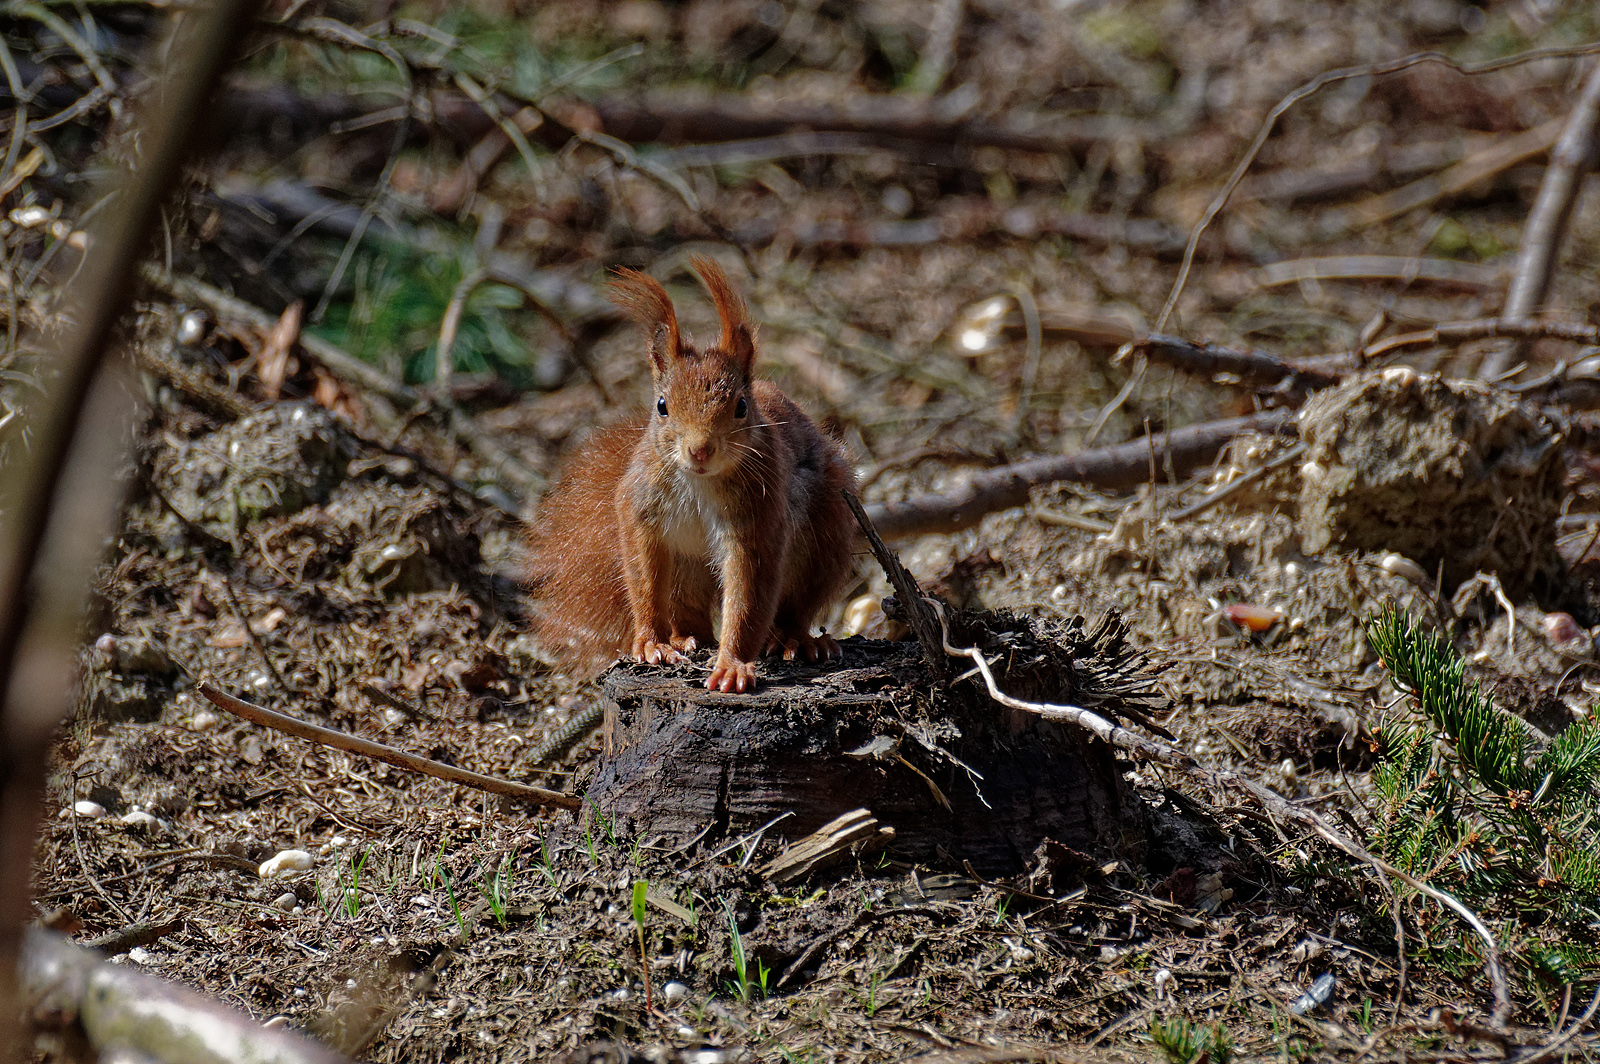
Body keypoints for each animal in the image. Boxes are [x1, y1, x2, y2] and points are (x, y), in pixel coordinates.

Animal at [528, 256, 857, 688]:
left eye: (740, 406)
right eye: (662, 406)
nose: (700, 450)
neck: (699, 482)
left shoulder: (759, 517)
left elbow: (747, 595)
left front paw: (732, 664)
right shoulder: (640, 509)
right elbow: (644, 580)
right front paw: (651, 643)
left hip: (826, 537)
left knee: (795, 607)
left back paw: (795, 639)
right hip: (686, 570)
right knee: (689, 612)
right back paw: (684, 638)